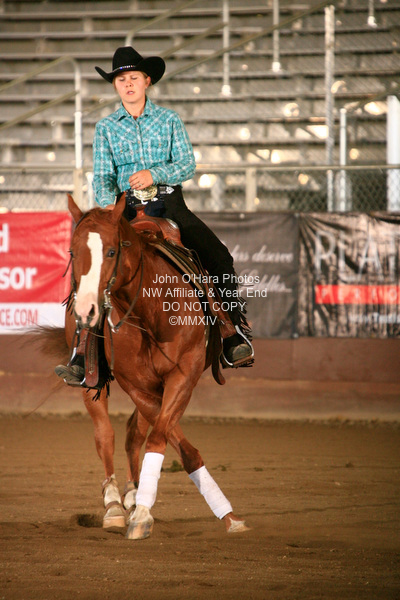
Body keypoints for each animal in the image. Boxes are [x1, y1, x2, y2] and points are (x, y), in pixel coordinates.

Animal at [60, 193, 249, 540]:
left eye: (112, 250)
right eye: (72, 252)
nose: (86, 310)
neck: (150, 312)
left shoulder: (183, 376)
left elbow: (164, 440)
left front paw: (228, 517)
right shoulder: (136, 384)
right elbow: (170, 439)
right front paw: (138, 513)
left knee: (133, 433)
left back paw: (132, 496)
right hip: (93, 381)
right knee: (105, 434)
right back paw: (113, 506)